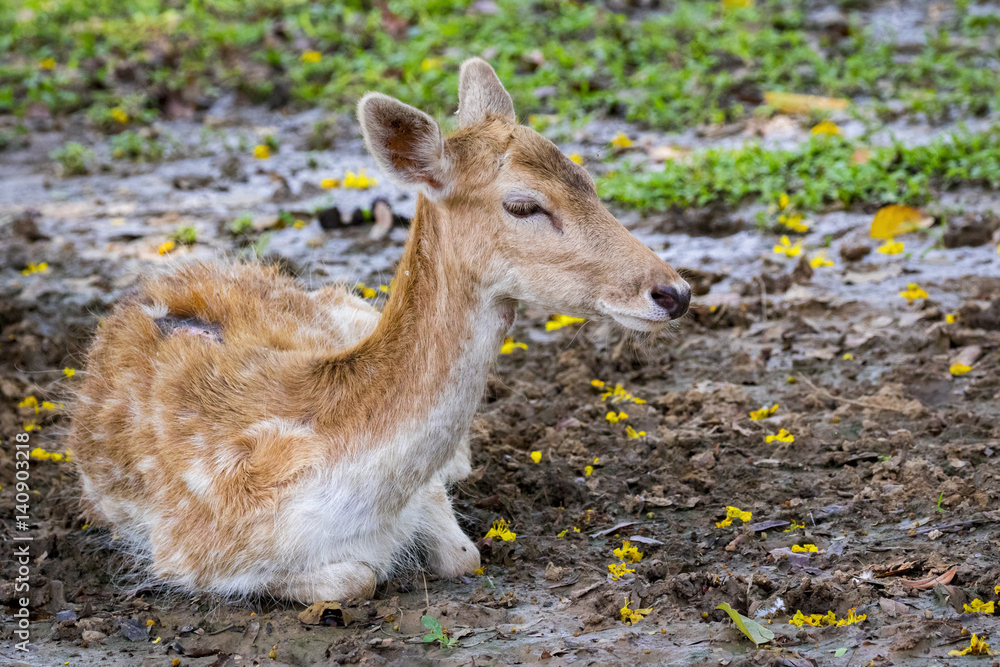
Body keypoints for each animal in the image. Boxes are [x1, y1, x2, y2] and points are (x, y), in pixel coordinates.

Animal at [70, 60, 692, 604]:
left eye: (588, 179)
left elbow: (463, 554)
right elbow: (357, 578)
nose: (674, 292)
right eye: (523, 205)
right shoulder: (186, 550)